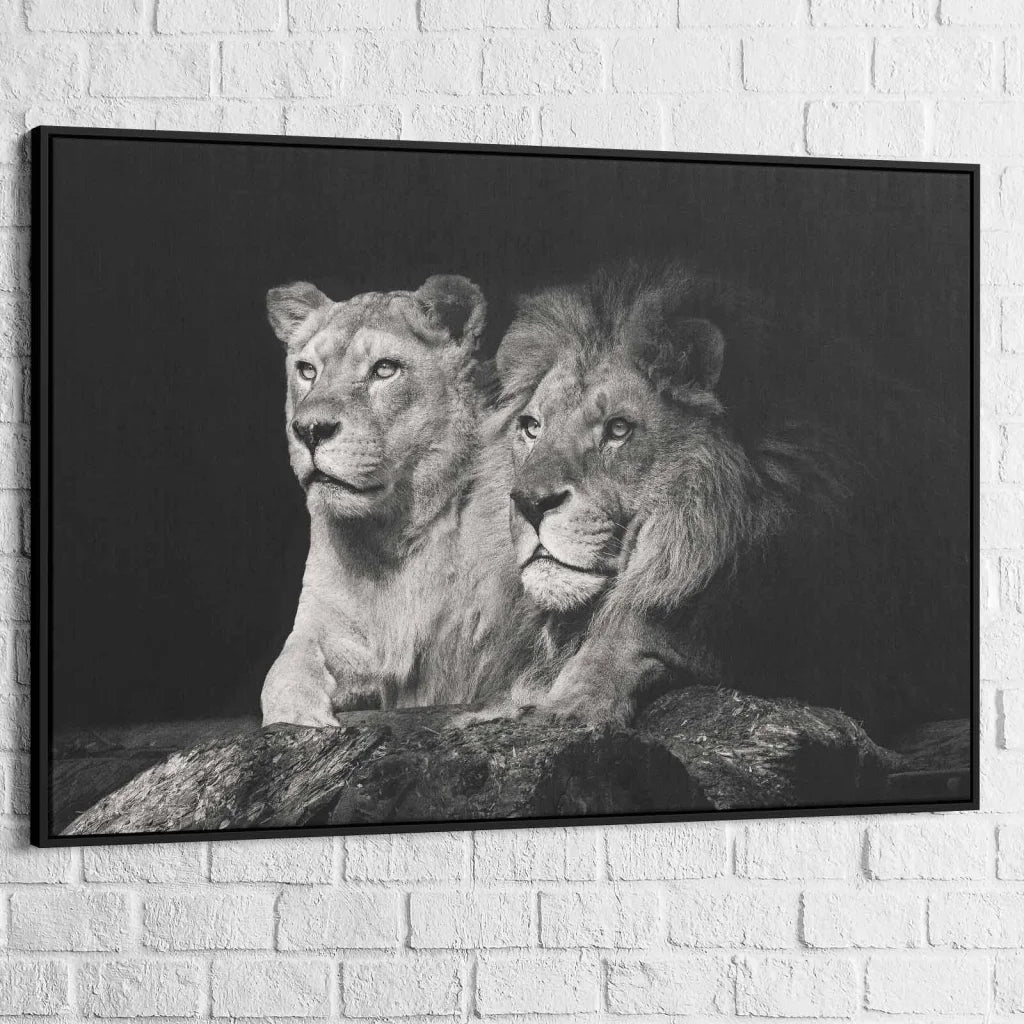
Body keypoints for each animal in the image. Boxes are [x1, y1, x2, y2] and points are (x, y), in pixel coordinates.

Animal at [260, 274, 536, 727]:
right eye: (307, 370)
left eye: (384, 369)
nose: (309, 430)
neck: (392, 536)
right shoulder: (326, 625)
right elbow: (283, 669)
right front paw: (300, 718)